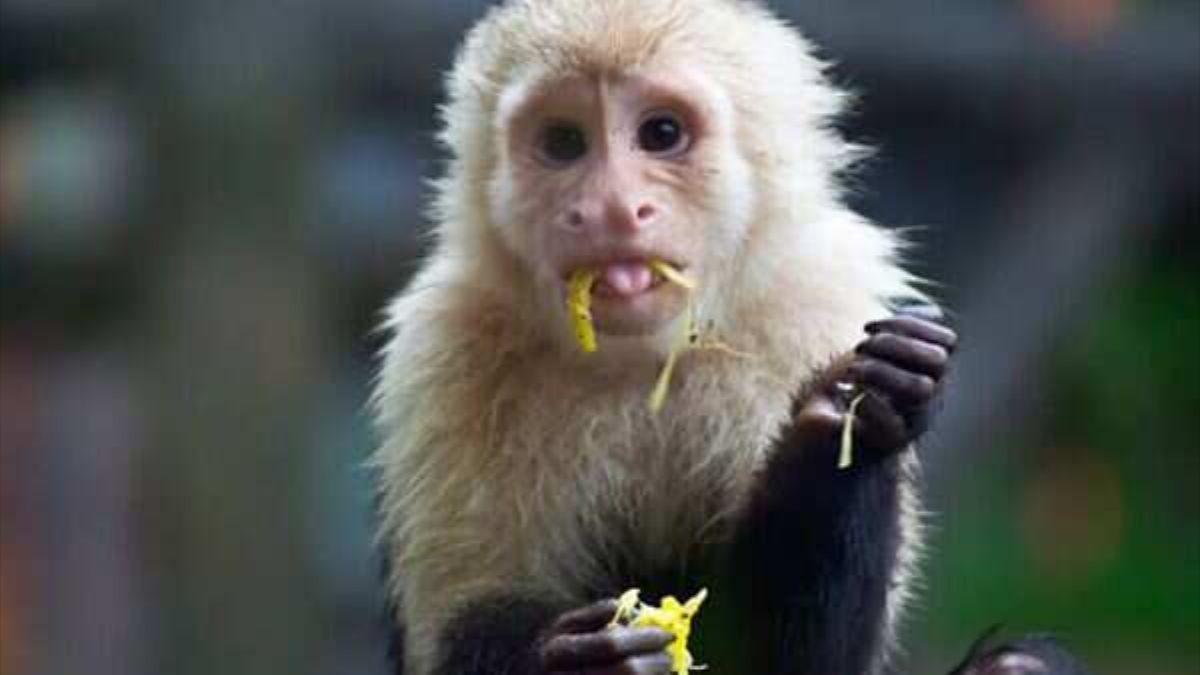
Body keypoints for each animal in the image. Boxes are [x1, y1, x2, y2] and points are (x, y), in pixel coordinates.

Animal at [370, 1, 1092, 674]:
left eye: (661, 133)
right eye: (564, 142)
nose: (611, 205)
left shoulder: (820, 297)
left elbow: (792, 655)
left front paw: (848, 414)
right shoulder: (444, 348)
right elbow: (462, 627)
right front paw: (585, 658)